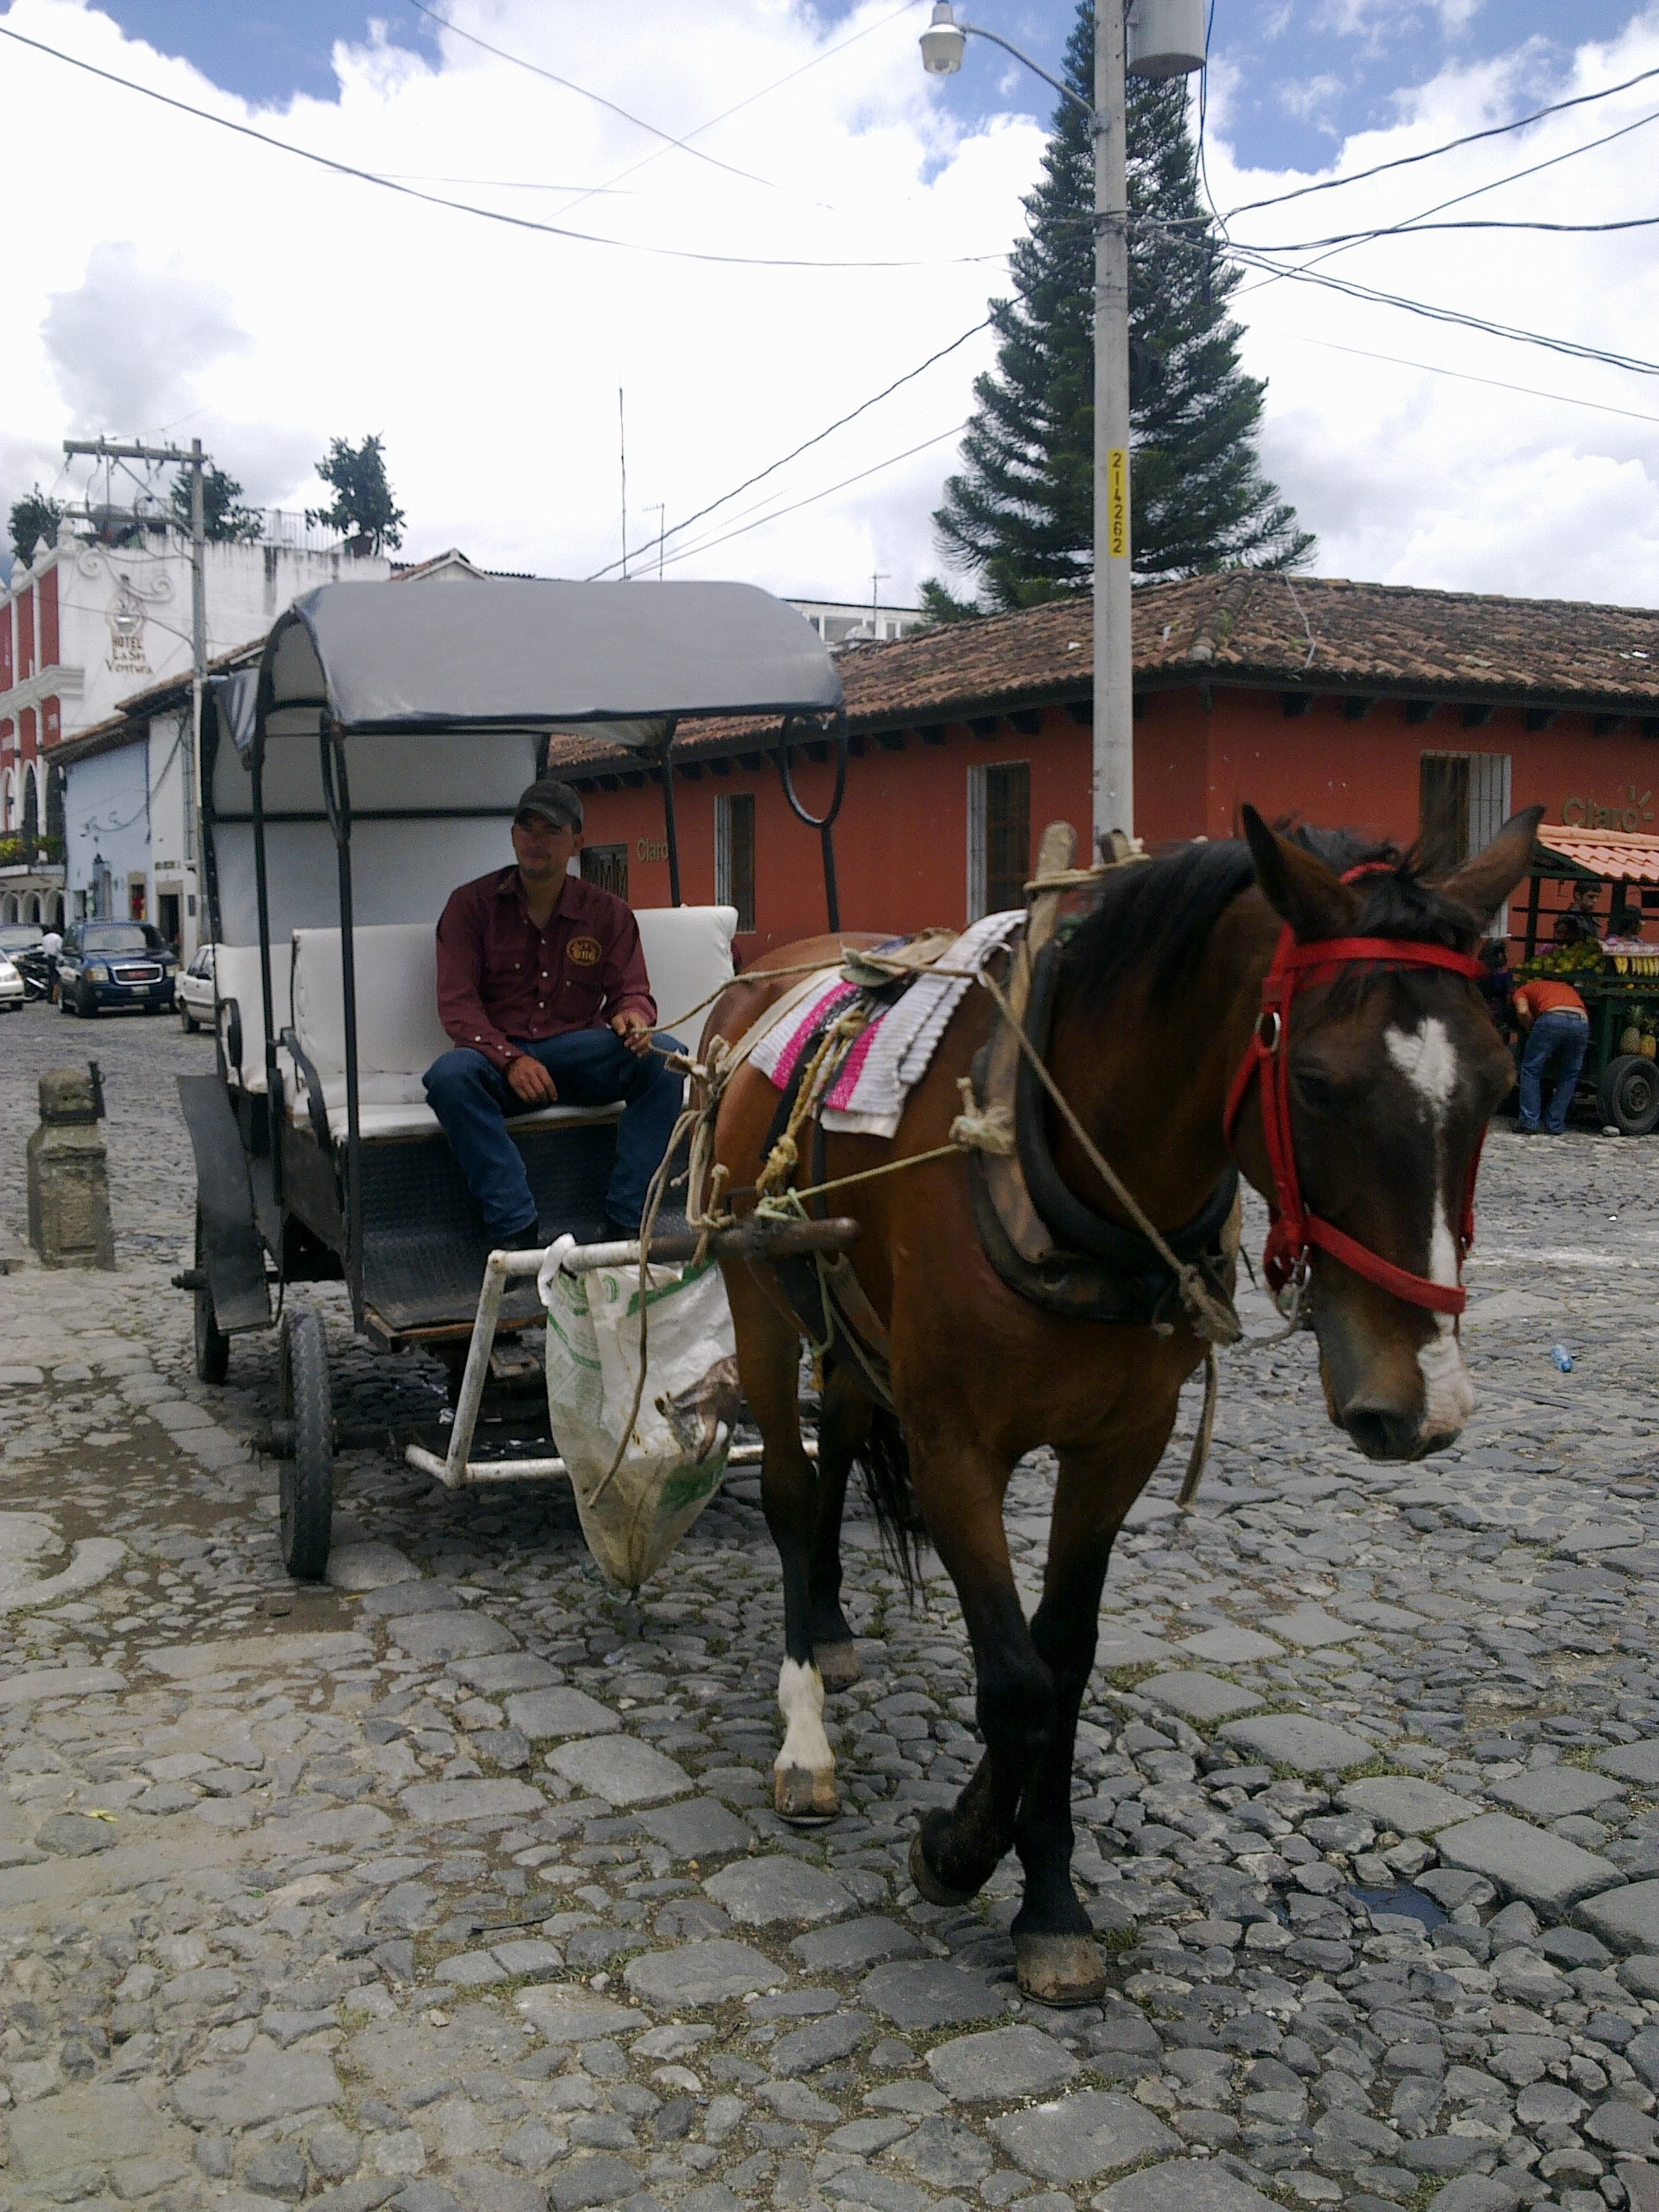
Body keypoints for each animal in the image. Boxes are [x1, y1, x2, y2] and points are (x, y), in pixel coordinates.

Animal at [703, 809, 1548, 2008]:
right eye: (1318, 1083)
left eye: (1500, 1079)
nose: (1420, 1401)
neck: (1063, 1155)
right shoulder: (957, 1446)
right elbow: (1016, 1684)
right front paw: (959, 1850)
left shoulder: (1120, 1449)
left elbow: (1064, 1664)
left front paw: (1050, 1898)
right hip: (758, 1294)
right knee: (787, 1485)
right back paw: (805, 1735)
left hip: (849, 1318)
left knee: (840, 1455)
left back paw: (826, 1631)